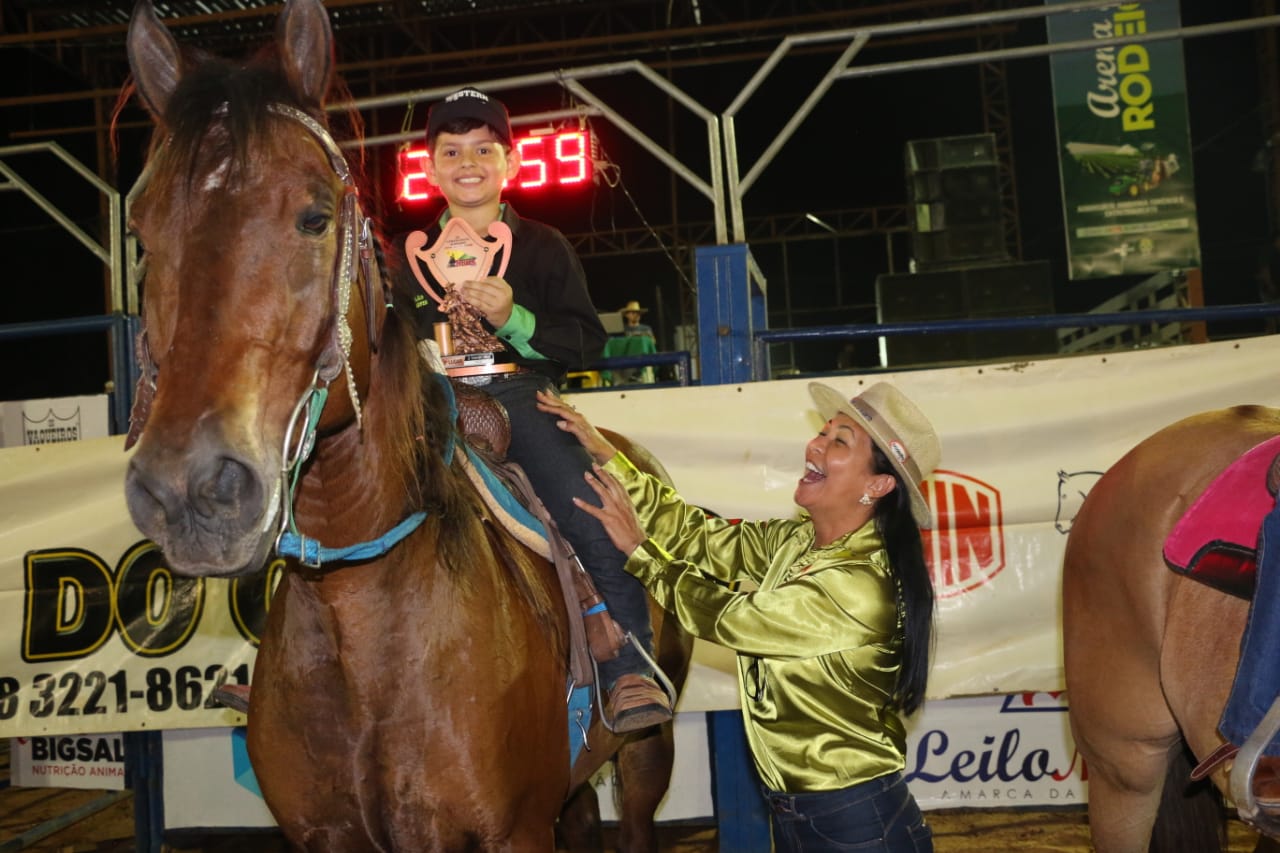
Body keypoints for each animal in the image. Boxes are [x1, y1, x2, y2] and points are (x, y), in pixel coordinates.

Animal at [118, 0, 691, 848]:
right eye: (142, 230)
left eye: (315, 215)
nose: (190, 488)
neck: (360, 616)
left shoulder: (512, 831)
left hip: (648, 750)